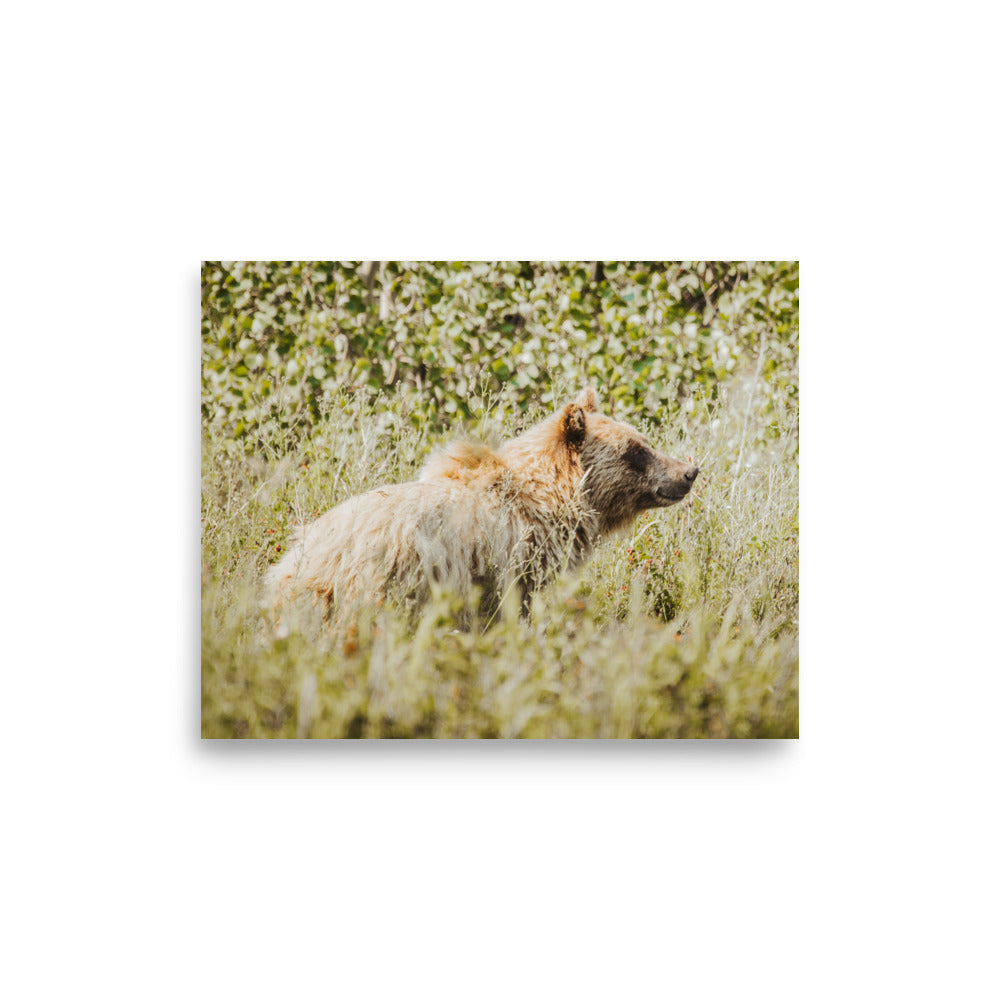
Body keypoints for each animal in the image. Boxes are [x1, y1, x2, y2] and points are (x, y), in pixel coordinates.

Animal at [264, 387, 698, 618]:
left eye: (644, 440)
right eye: (637, 450)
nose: (688, 472)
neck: (552, 502)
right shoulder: (510, 561)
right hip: (380, 581)